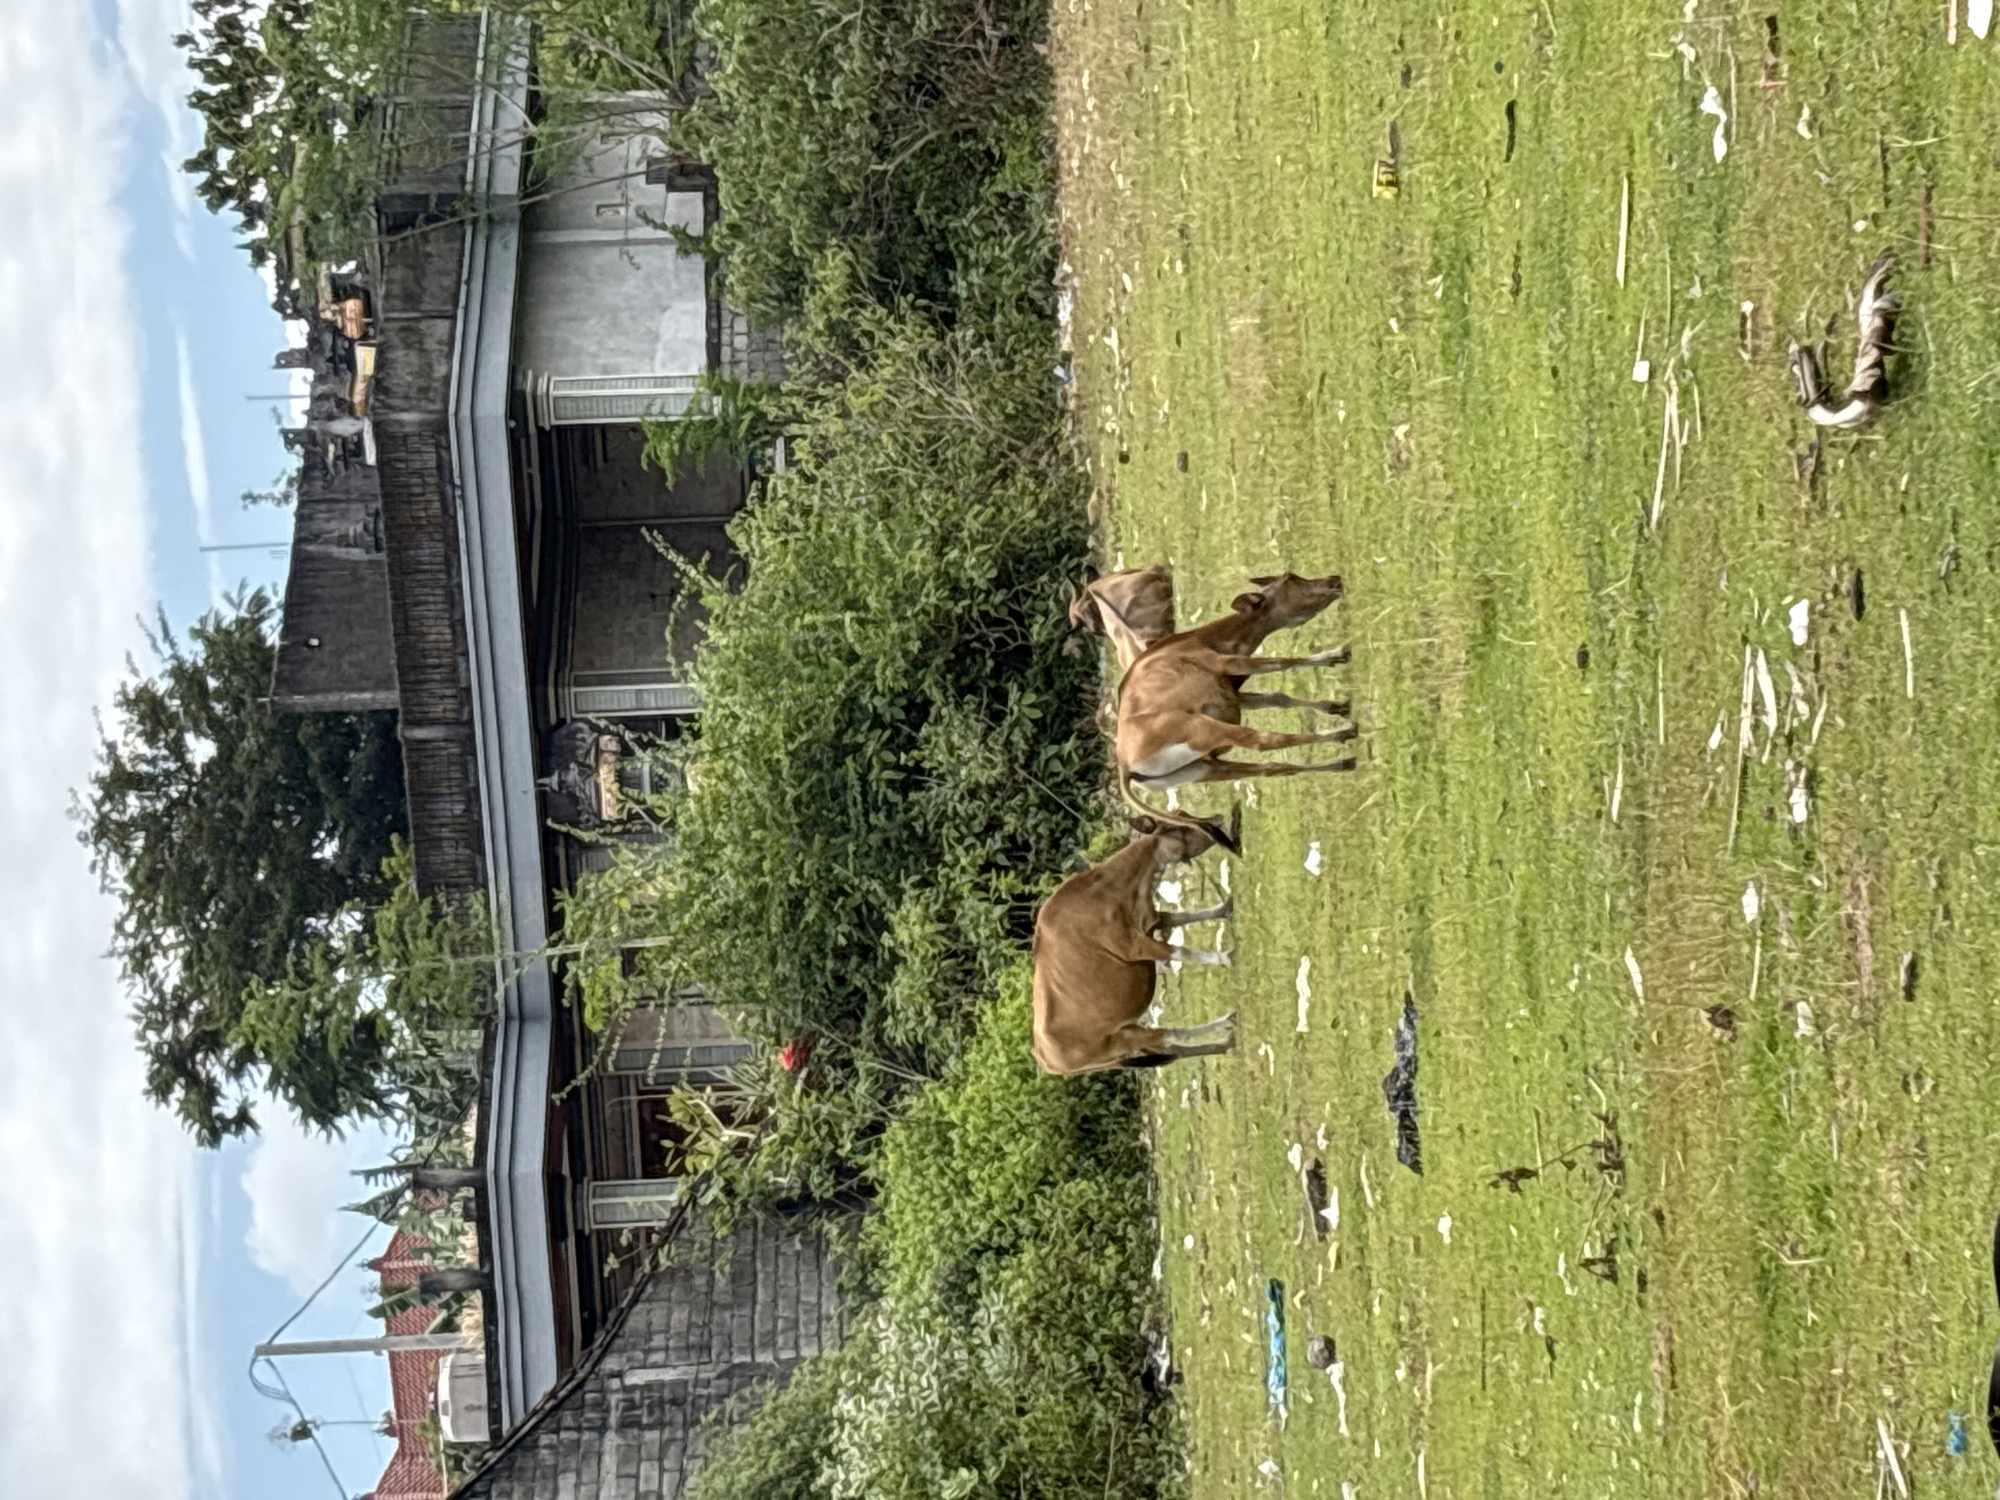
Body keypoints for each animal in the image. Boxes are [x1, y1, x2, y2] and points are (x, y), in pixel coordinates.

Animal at [1032, 814, 1239, 1076]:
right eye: (1179, 825)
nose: (1217, 819)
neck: (1110, 890)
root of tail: (1044, 1059)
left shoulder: (1152, 918)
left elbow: (1184, 916)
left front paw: (1226, 907)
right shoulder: (1136, 946)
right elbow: (1182, 951)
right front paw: (1227, 957)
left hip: (1128, 1031)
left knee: (1172, 1051)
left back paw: (1223, 1043)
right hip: (1123, 1040)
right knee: (1169, 1036)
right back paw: (1223, 1025)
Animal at [1113, 572, 1357, 829]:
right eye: (1291, 579)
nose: (1334, 579)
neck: (1199, 639)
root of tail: (1125, 767)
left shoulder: (1233, 696)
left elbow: (1279, 697)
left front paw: (1337, 701)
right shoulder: (1230, 663)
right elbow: (1283, 662)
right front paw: (1336, 656)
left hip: (1205, 769)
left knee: (1270, 768)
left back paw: (1342, 763)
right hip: (1207, 729)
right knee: (1265, 740)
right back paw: (1343, 734)